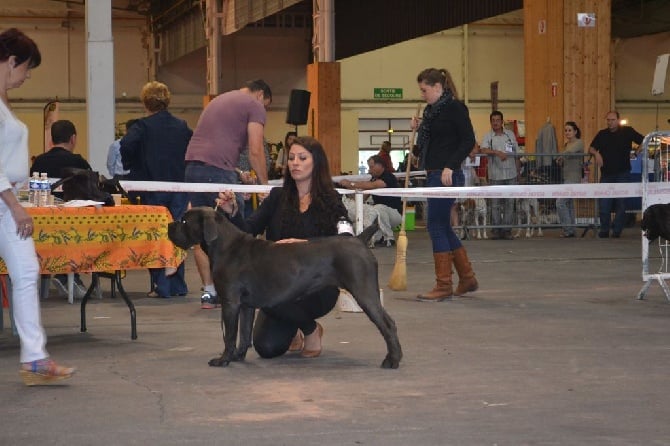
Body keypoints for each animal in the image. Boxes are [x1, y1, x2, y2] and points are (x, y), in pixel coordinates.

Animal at [168, 207, 404, 368]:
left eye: (184, 220)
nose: (170, 225)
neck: (225, 246)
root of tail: (359, 240)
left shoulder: (230, 302)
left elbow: (230, 335)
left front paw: (223, 359)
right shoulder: (245, 306)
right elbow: (243, 334)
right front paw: (237, 357)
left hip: (364, 291)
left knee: (388, 324)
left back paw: (392, 360)